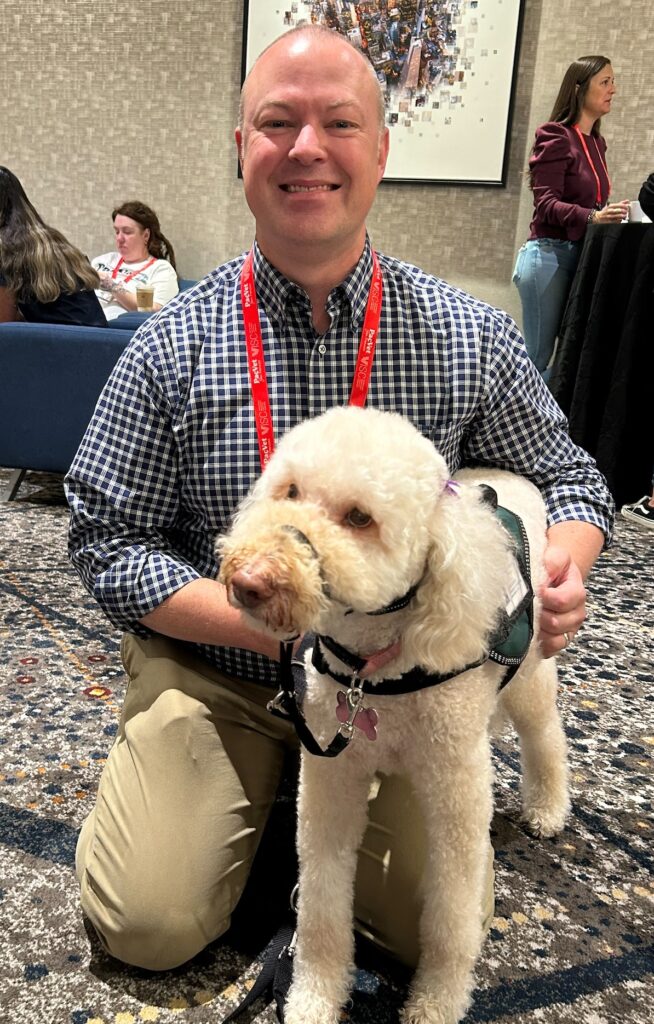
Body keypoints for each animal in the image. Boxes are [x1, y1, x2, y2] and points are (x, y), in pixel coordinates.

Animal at [219, 405, 569, 1024]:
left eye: (360, 517)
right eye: (290, 491)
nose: (250, 579)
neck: (372, 676)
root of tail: (510, 480)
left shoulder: (457, 795)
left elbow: (452, 919)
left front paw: (436, 1003)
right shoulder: (330, 777)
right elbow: (321, 904)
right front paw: (314, 995)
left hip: (530, 676)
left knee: (545, 736)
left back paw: (549, 809)